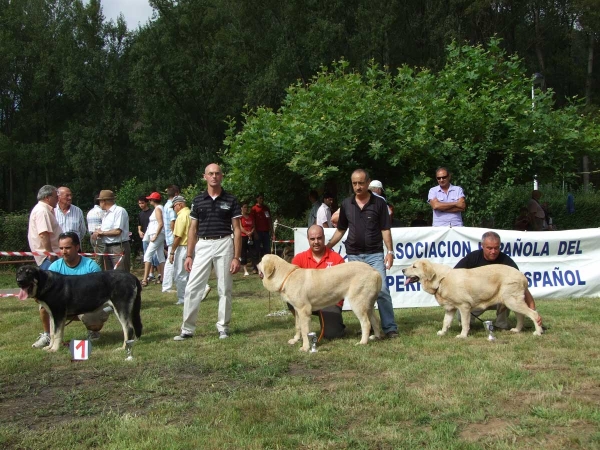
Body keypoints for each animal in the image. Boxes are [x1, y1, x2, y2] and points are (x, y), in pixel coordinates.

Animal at [400, 260, 540, 338]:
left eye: (414, 266)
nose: (402, 270)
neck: (441, 280)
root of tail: (522, 275)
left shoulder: (464, 306)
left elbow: (465, 323)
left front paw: (463, 335)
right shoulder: (450, 309)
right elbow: (446, 322)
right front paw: (442, 333)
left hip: (511, 300)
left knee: (534, 314)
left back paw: (538, 332)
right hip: (511, 301)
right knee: (521, 316)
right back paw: (517, 330)